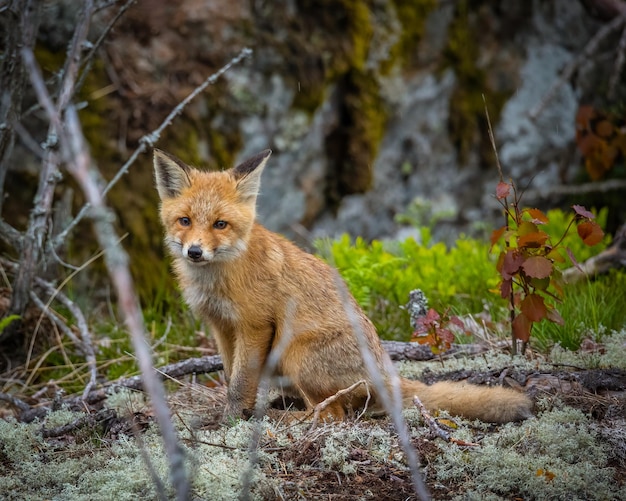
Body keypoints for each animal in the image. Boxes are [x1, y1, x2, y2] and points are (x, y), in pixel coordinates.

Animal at [152, 147, 532, 422]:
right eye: (184, 221)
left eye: (220, 224)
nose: (195, 251)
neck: (218, 278)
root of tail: (386, 371)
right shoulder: (221, 327)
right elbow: (232, 375)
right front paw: (234, 414)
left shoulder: (254, 326)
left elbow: (240, 382)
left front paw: (232, 420)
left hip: (295, 353)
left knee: (332, 415)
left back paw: (286, 421)